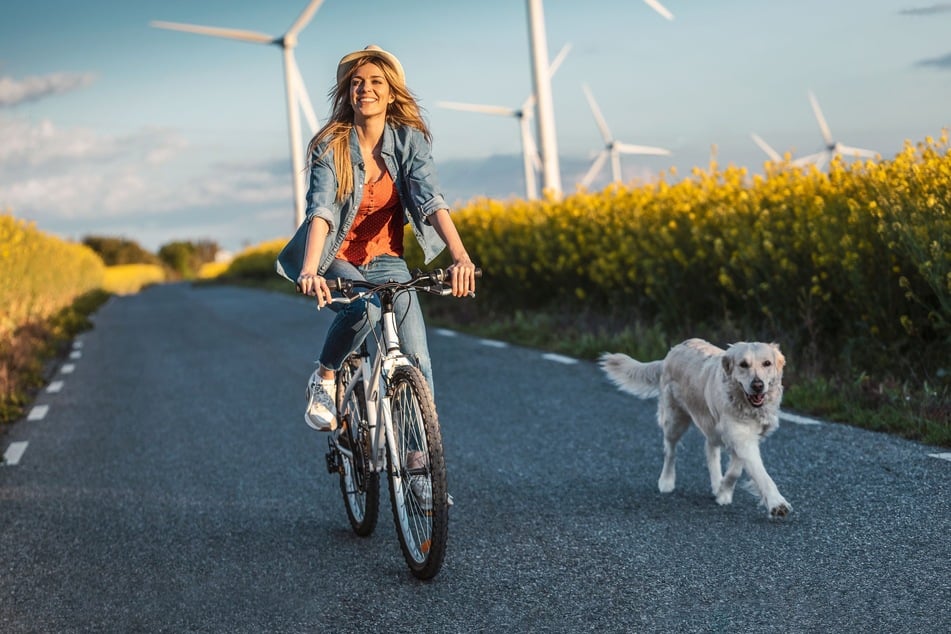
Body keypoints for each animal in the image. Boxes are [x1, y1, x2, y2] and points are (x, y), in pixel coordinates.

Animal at [608, 338, 792, 516]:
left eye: (767, 363)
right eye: (743, 364)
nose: (758, 385)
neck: (746, 405)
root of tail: (671, 352)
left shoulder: (747, 437)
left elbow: (735, 470)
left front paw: (723, 491)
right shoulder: (740, 437)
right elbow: (760, 474)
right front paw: (777, 503)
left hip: (709, 425)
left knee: (710, 448)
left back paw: (716, 483)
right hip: (675, 420)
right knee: (670, 450)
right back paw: (666, 481)